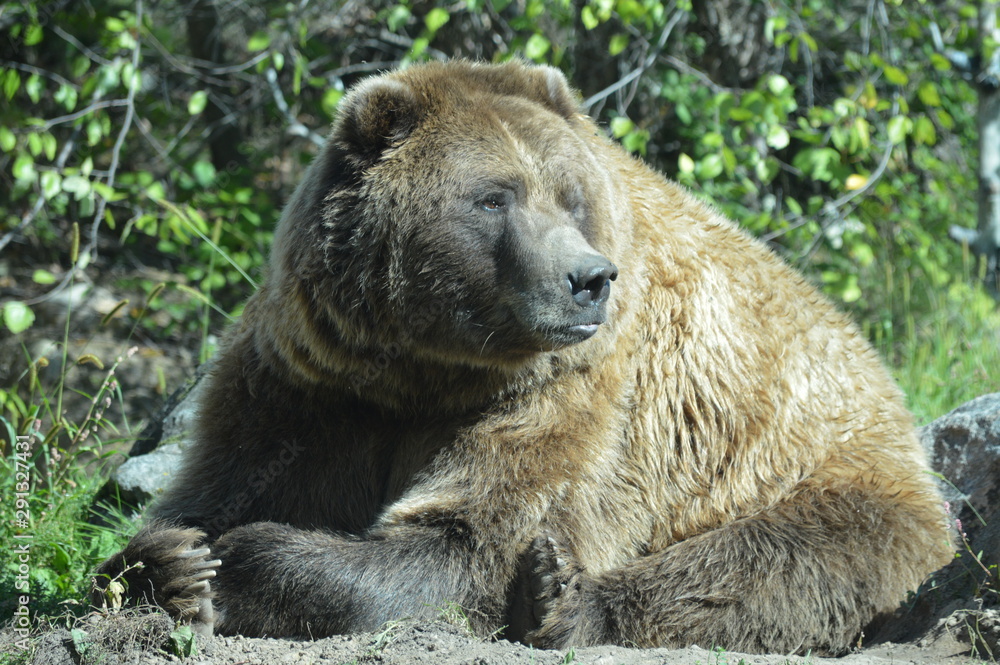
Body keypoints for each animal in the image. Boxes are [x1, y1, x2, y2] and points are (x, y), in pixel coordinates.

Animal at [93, 60, 954, 654]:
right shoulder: (315, 381)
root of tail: (878, 371)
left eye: (570, 196)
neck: (426, 365)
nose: (588, 278)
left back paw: (564, 599)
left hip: (817, 465)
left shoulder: (570, 392)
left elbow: (466, 541)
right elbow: (221, 479)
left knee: (780, 563)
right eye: (494, 196)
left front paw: (235, 562)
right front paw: (173, 558)